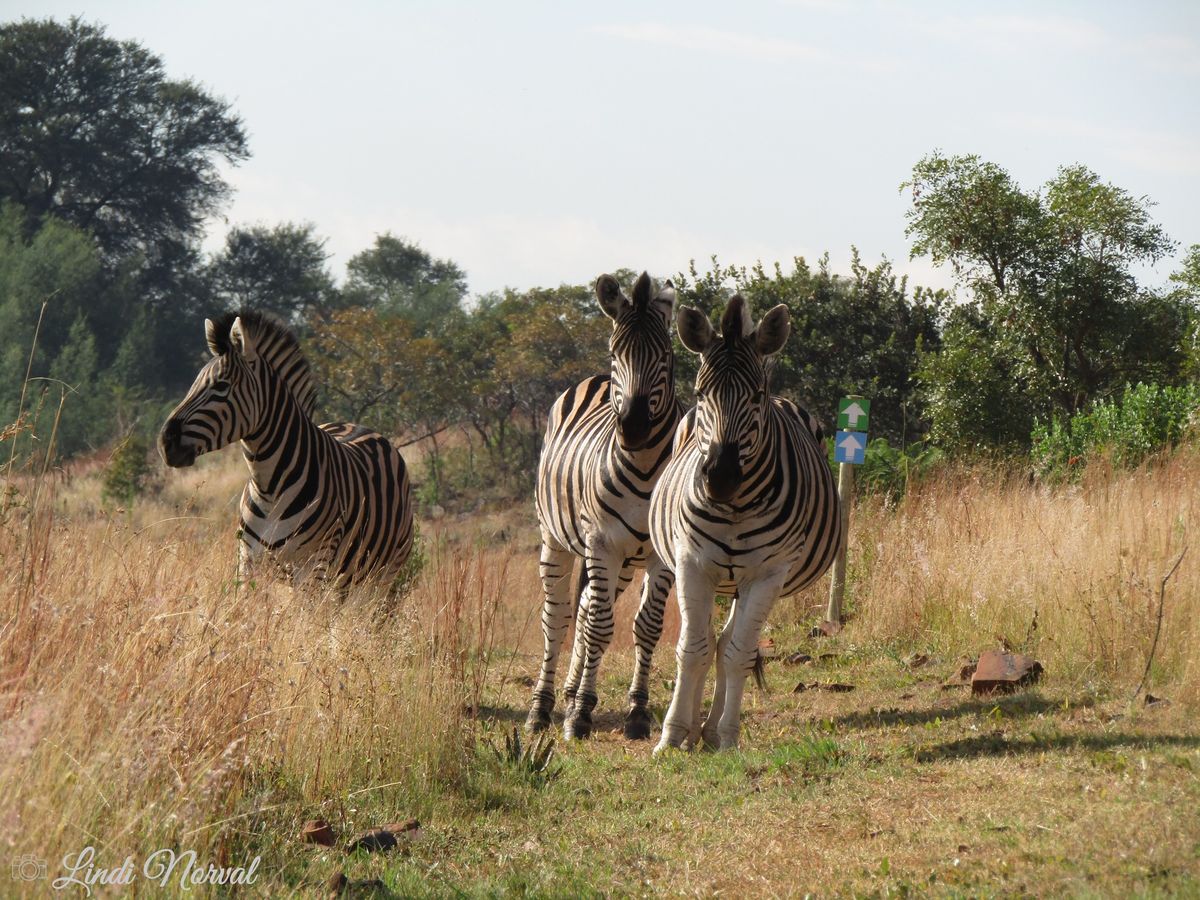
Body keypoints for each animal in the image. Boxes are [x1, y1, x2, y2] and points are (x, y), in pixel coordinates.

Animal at [159, 312, 415, 592]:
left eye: (221, 386)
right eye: (194, 383)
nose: (165, 442)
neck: (270, 487)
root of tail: (360, 426)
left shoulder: (313, 566)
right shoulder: (248, 560)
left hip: (379, 575)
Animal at [525, 271, 686, 744]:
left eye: (665, 356)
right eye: (617, 353)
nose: (633, 427)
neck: (647, 468)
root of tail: (591, 379)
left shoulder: (660, 555)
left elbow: (646, 626)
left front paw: (637, 712)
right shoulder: (602, 544)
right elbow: (598, 626)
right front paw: (579, 717)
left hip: (624, 562)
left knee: (583, 611)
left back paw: (572, 691)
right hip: (556, 542)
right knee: (559, 619)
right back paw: (542, 708)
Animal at [652, 294, 840, 753]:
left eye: (756, 395)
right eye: (700, 393)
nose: (720, 478)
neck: (734, 507)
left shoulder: (768, 573)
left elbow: (737, 653)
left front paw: (725, 737)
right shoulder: (691, 563)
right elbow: (692, 649)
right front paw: (673, 735)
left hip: (745, 581)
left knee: (729, 644)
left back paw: (709, 728)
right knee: (708, 641)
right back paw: (693, 729)